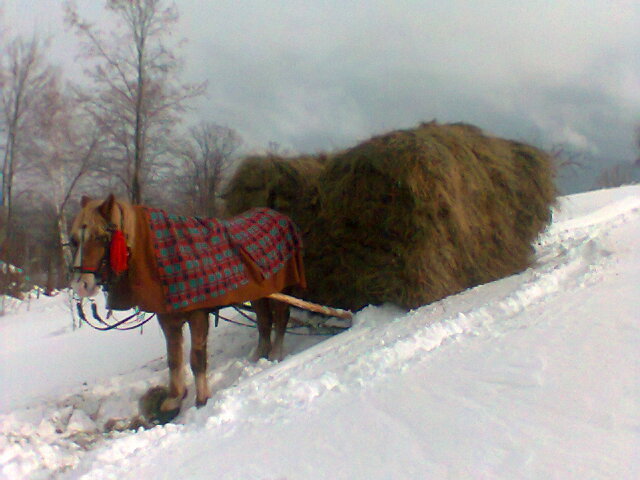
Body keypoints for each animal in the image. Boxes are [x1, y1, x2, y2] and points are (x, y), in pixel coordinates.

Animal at [69, 194, 306, 420]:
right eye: (74, 241)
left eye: (101, 237)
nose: (80, 285)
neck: (163, 260)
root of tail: (279, 215)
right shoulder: (168, 320)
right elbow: (174, 359)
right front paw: (173, 400)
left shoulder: (198, 316)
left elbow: (196, 359)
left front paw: (202, 399)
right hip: (260, 292)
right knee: (264, 321)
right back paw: (259, 355)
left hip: (282, 288)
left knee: (281, 318)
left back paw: (275, 354)